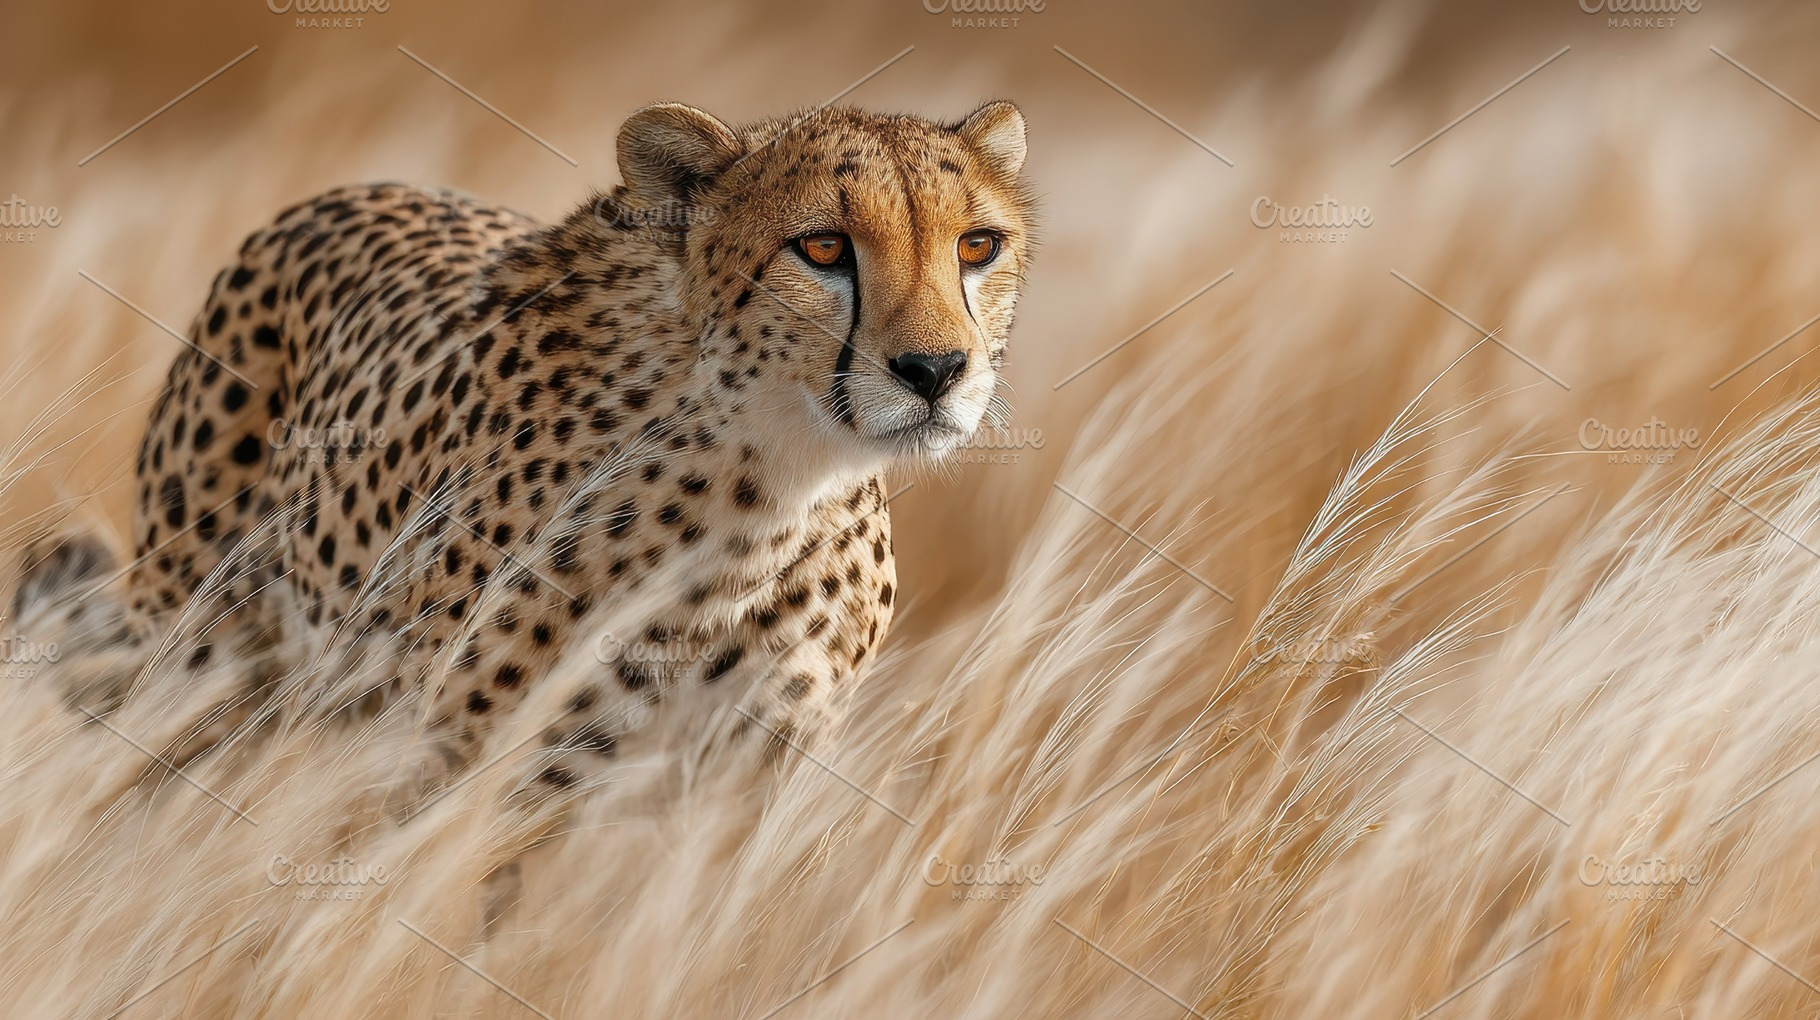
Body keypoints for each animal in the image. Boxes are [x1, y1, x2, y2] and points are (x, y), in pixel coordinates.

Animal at [35, 99, 1035, 798]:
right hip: (199, 658)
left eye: (977, 246)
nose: (936, 370)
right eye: (823, 247)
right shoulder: (464, 756)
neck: (773, 487)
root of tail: (353, 190)